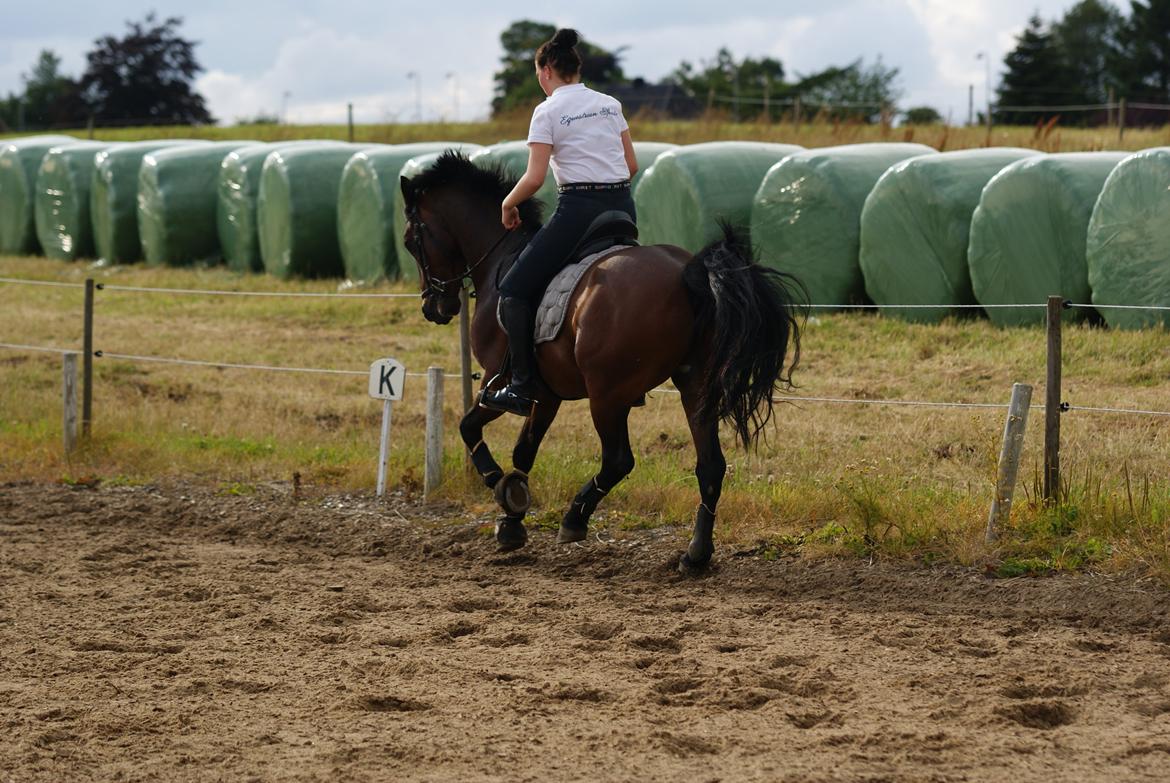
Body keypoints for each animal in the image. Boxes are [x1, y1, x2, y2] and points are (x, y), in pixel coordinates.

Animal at [402, 149, 804, 571]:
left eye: (411, 241)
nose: (434, 307)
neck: (500, 259)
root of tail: (687, 273)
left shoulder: (499, 384)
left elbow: (469, 429)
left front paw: (503, 488)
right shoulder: (546, 395)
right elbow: (524, 449)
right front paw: (512, 519)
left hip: (607, 395)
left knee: (618, 460)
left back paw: (574, 519)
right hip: (695, 387)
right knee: (710, 466)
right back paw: (695, 553)